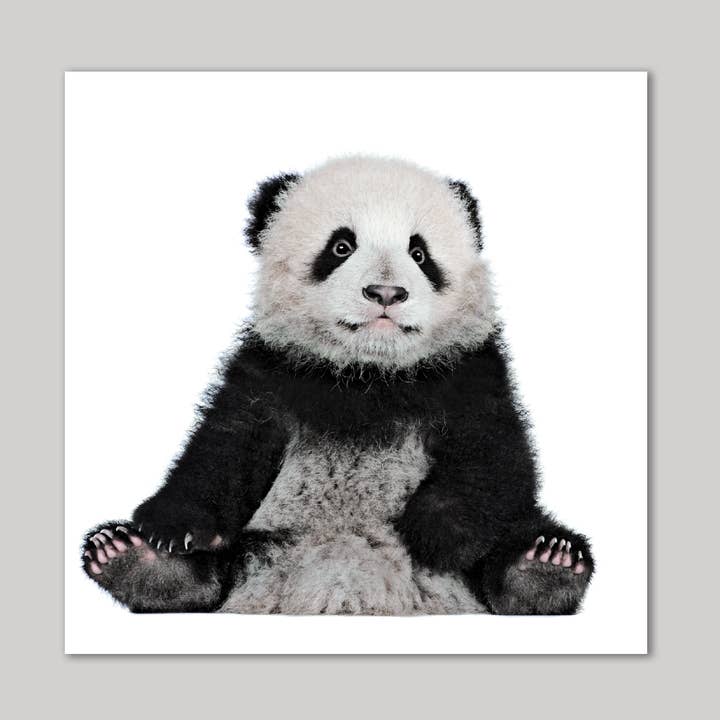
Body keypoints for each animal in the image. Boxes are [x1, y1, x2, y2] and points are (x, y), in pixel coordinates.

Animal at [82, 155, 594, 615]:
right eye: (341, 247)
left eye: (420, 253)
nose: (386, 293)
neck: (368, 375)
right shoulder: (272, 371)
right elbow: (224, 444)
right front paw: (171, 529)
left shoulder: (467, 372)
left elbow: (495, 455)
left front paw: (440, 533)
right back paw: (139, 561)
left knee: (521, 532)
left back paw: (543, 565)